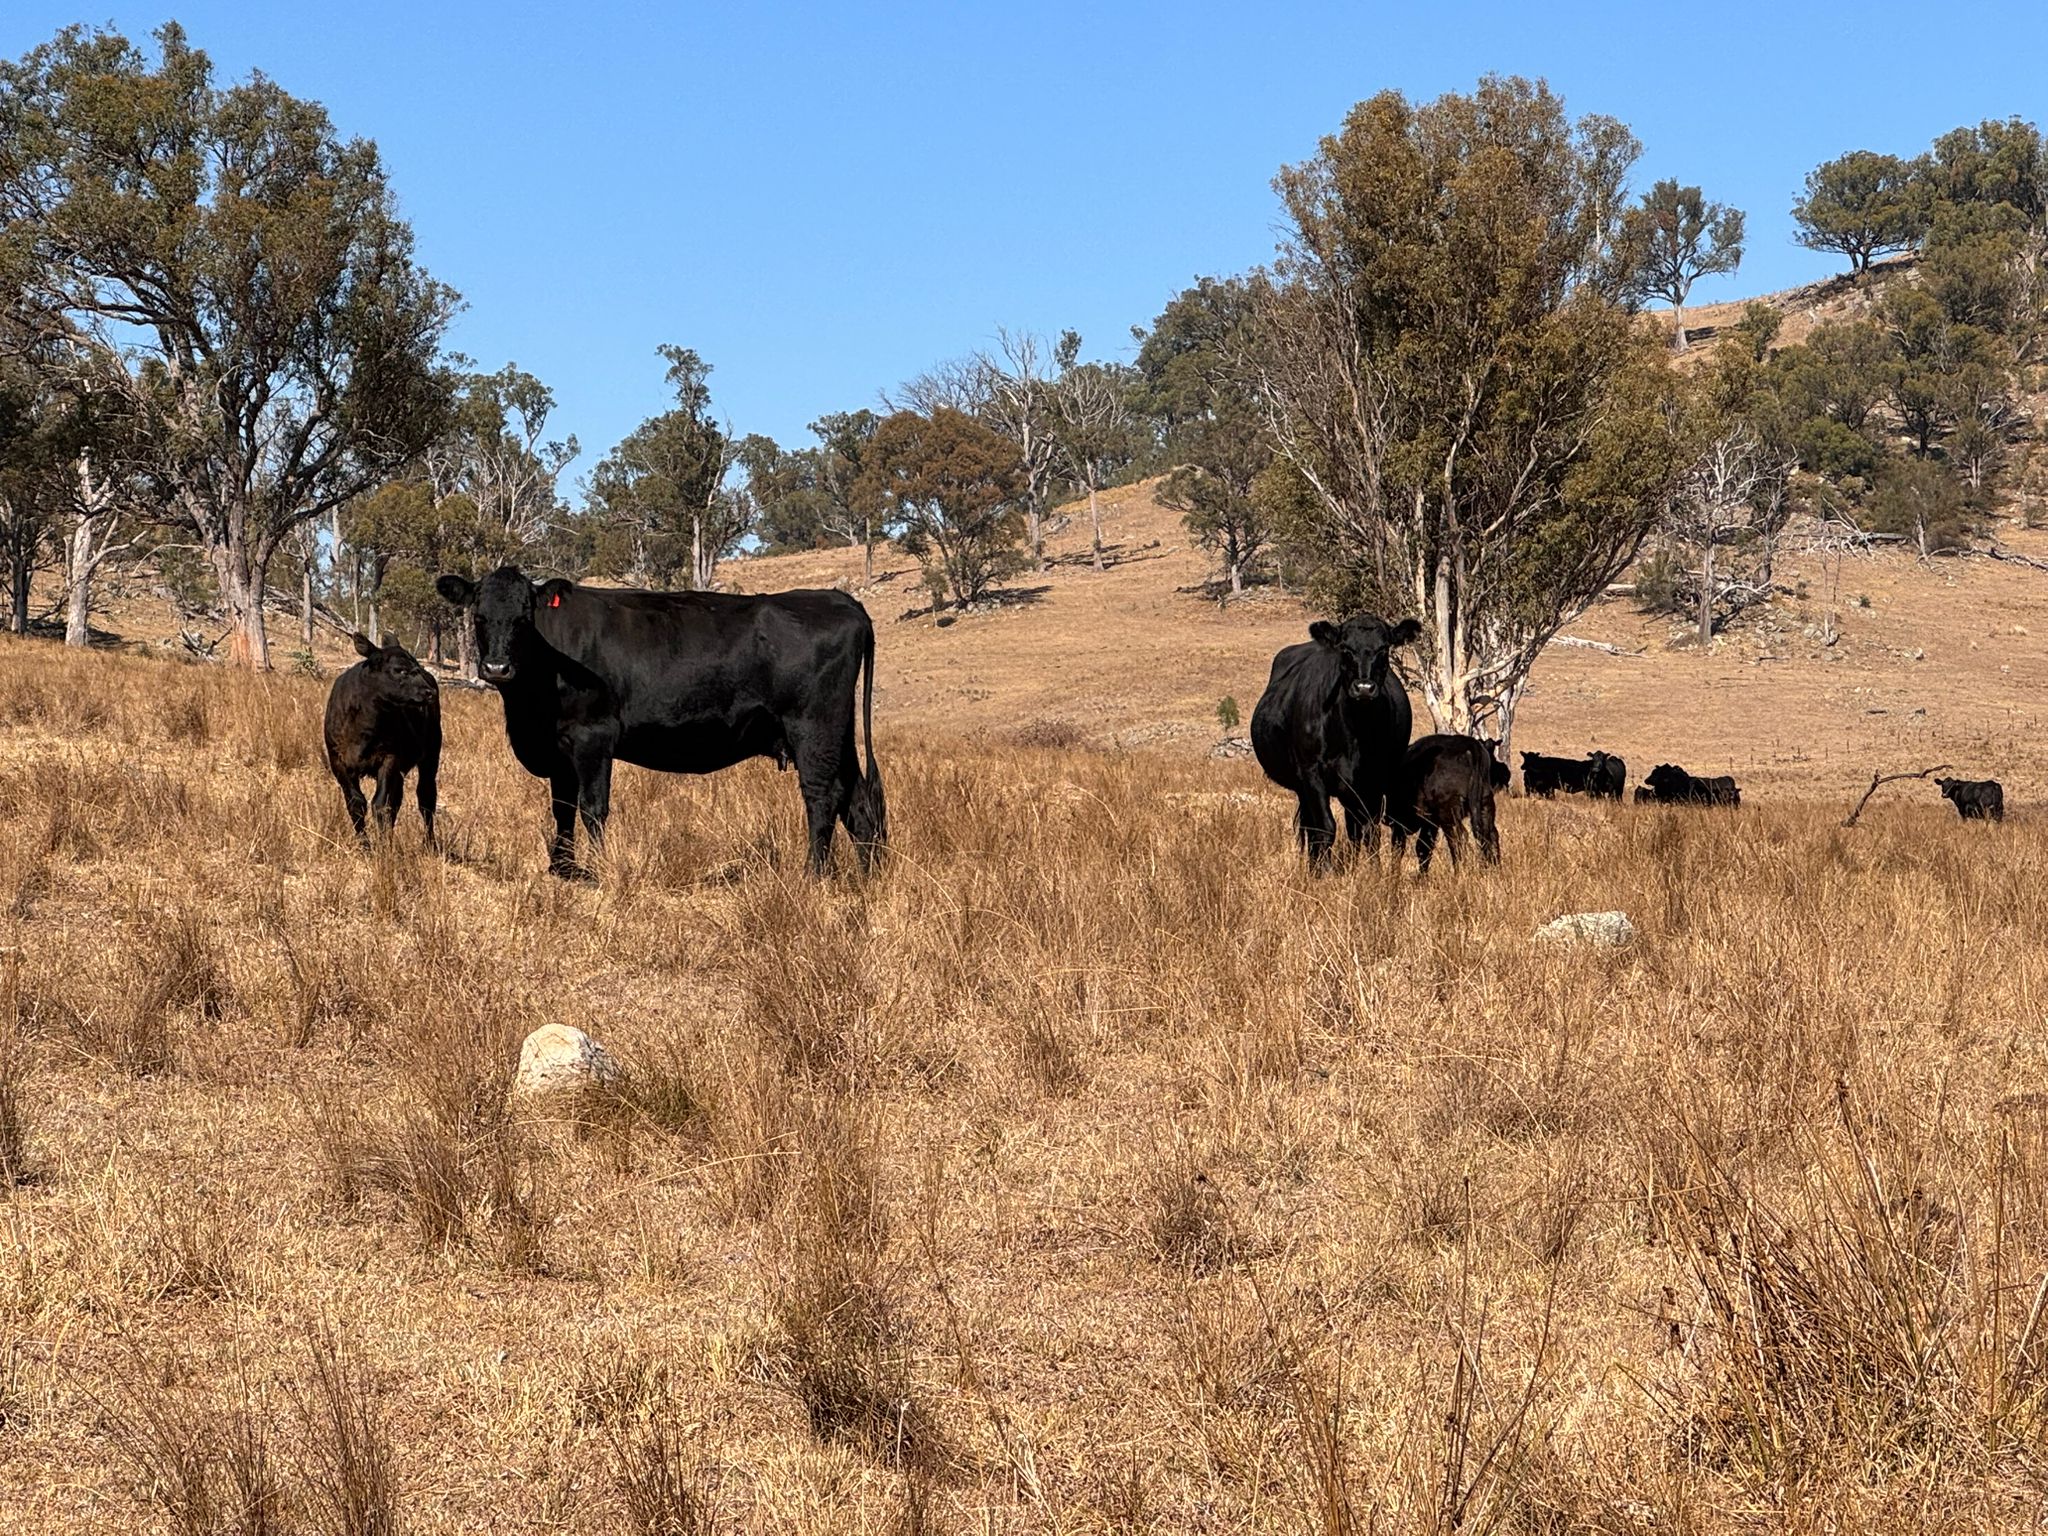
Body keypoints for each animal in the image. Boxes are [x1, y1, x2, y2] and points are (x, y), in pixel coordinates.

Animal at [324, 632, 441, 847]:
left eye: (416, 666)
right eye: (399, 670)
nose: (429, 692)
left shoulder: (389, 758)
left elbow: (380, 804)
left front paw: (382, 845)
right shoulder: (338, 761)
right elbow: (356, 803)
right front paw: (365, 844)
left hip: (431, 754)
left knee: (426, 797)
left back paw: (429, 844)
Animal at [434, 566, 885, 878]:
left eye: (524, 616)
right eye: (478, 615)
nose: (497, 667)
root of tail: (840, 600)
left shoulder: (593, 737)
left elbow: (592, 807)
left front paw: (598, 870)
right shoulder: (559, 747)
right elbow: (562, 807)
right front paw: (562, 869)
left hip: (812, 728)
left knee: (822, 796)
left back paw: (814, 875)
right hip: (837, 734)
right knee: (857, 799)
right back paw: (866, 878)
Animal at [1250, 613, 1423, 865]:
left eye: (1384, 648)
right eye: (1345, 648)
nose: (1364, 688)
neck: (1355, 732)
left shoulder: (1375, 778)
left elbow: (1370, 831)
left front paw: (1373, 871)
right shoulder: (1312, 773)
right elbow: (1325, 828)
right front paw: (1324, 871)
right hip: (1303, 786)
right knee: (1311, 828)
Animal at [1389, 735, 1506, 871]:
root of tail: (1471, 745)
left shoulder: (1399, 823)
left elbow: (1398, 849)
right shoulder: (1429, 823)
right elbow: (1423, 848)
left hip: (1449, 813)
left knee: (1458, 838)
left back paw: (1459, 872)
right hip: (1485, 803)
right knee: (1491, 835)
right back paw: (1495, 870)